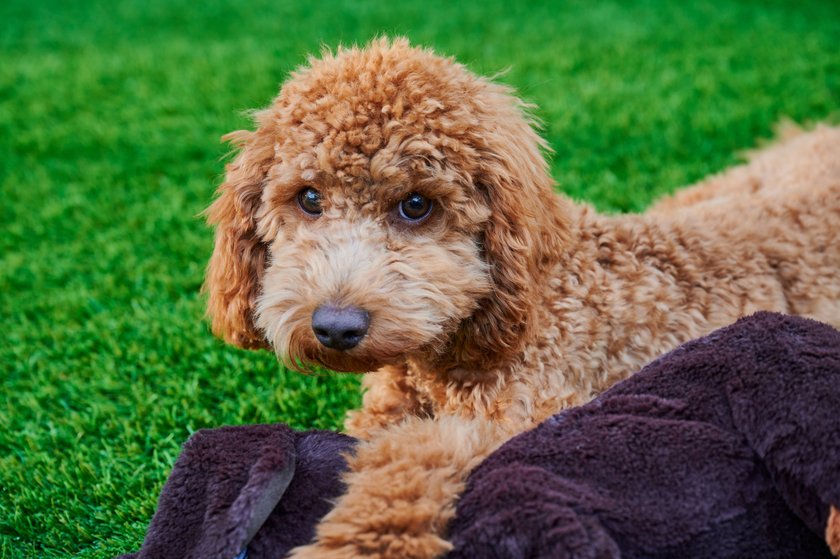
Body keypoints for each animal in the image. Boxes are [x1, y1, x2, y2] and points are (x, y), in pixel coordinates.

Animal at [203, 37, 840, 556]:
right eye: (309, 198)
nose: (335, 326)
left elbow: (409, 457)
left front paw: (356, 542)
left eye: (416, 205)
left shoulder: (520, 421)